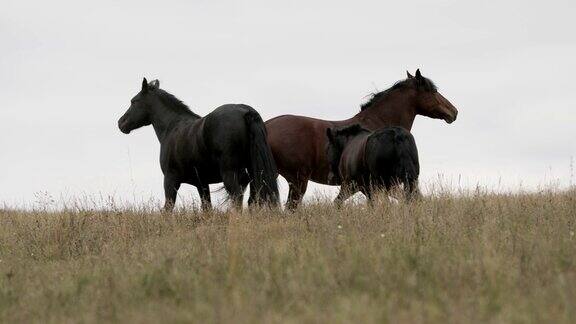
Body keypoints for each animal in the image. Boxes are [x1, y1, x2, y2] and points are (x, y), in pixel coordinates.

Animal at [117, 78, 280, 210]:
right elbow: (206, 208)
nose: (121, 123)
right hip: (253, 173)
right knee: (253, 199)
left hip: (230, 173)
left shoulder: (170, 180)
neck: (173, 126)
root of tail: (246, 111)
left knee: (237, 199)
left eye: (134, 101)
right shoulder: (202, 184)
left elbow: (168, 208)